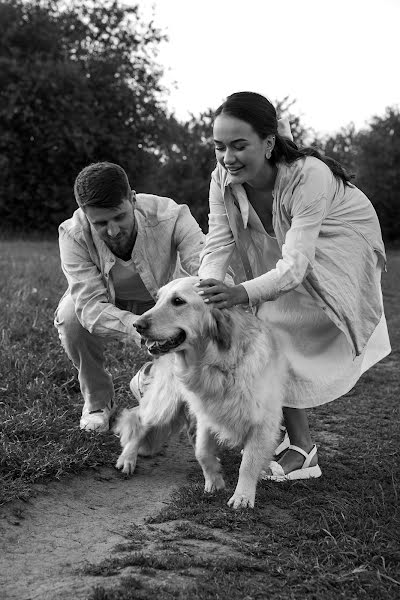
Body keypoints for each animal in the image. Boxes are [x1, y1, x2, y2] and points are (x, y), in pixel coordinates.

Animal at [114, 278, 286, 508]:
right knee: (139, 422)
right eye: (158, 299)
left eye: (178, 301)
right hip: (165, 401)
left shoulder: (262, 421)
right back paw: (127, 458)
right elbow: (202, 452)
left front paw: (242, 496)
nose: (137, 325)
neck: (216, 364)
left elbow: (248, 462)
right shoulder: (206, 414)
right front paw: (215, 481)